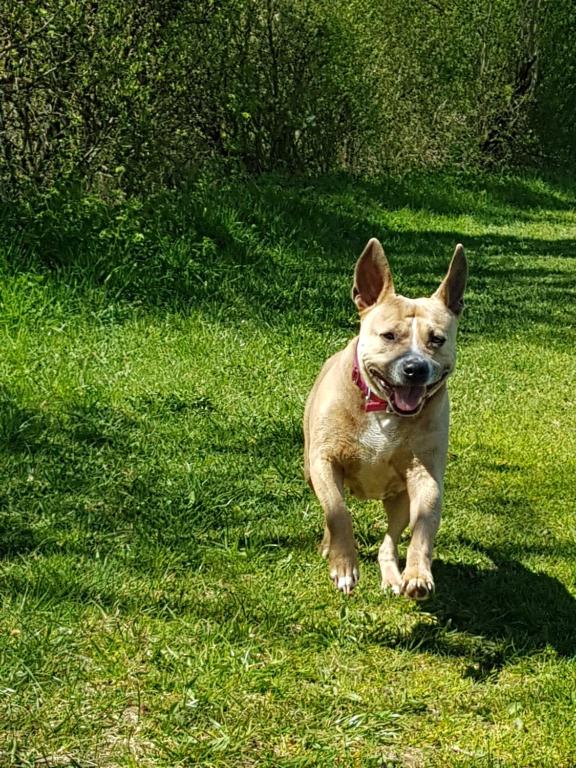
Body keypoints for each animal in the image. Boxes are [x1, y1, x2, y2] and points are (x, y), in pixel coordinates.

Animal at [304, 240, 466, 600]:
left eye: (437, 339)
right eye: (389, 336)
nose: (415, 368)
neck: (384, 408)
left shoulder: (426, 475)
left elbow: (423, 528)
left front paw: (418, 574)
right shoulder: (324, 460)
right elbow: (338, 512)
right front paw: (344, 566)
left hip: (399, 499)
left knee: (390, 540)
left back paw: (393, 575)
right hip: (309, 469)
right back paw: (329, 547)